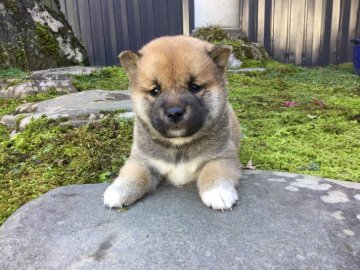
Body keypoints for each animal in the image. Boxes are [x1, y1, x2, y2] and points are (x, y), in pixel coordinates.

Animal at [103, 34, 242, 210]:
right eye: (155, 90)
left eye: (194, 87)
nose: (174, 113)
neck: (179, 145)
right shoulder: (142, 159)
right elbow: (134, 172)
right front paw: (119, 190)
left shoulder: (223, 156)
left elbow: (215, 169)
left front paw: (218, 191)